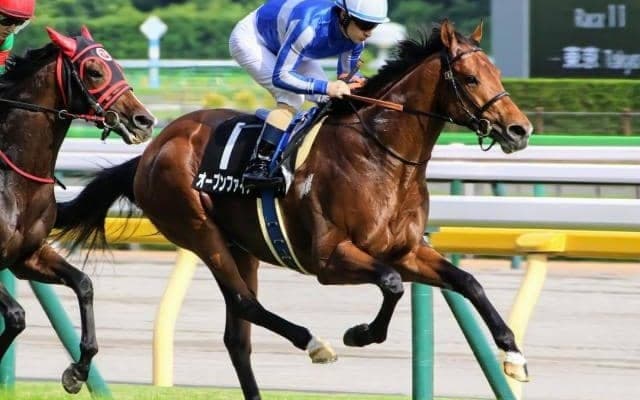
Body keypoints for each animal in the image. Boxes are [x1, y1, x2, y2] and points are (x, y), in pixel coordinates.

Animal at [0, 26, 154, 393]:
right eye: (94, 71)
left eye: (119, 67)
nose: (144, 120)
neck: (14, 181)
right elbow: (16, 316)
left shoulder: (27, 257)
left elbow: (84, 284)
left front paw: (78, 371)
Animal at [55, 20, 532, 398]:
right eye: (469, 78)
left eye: (496, 72)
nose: (519, 129)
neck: (382, 157)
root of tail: (153, 149)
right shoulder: (329, 258)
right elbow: (393, 284)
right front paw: (360, 334)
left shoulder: (406, 250)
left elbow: (468, 282)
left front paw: (513, 354)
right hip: (199, 231)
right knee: (245, 305)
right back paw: (315, 343)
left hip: (242, 247)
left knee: (237, 336)